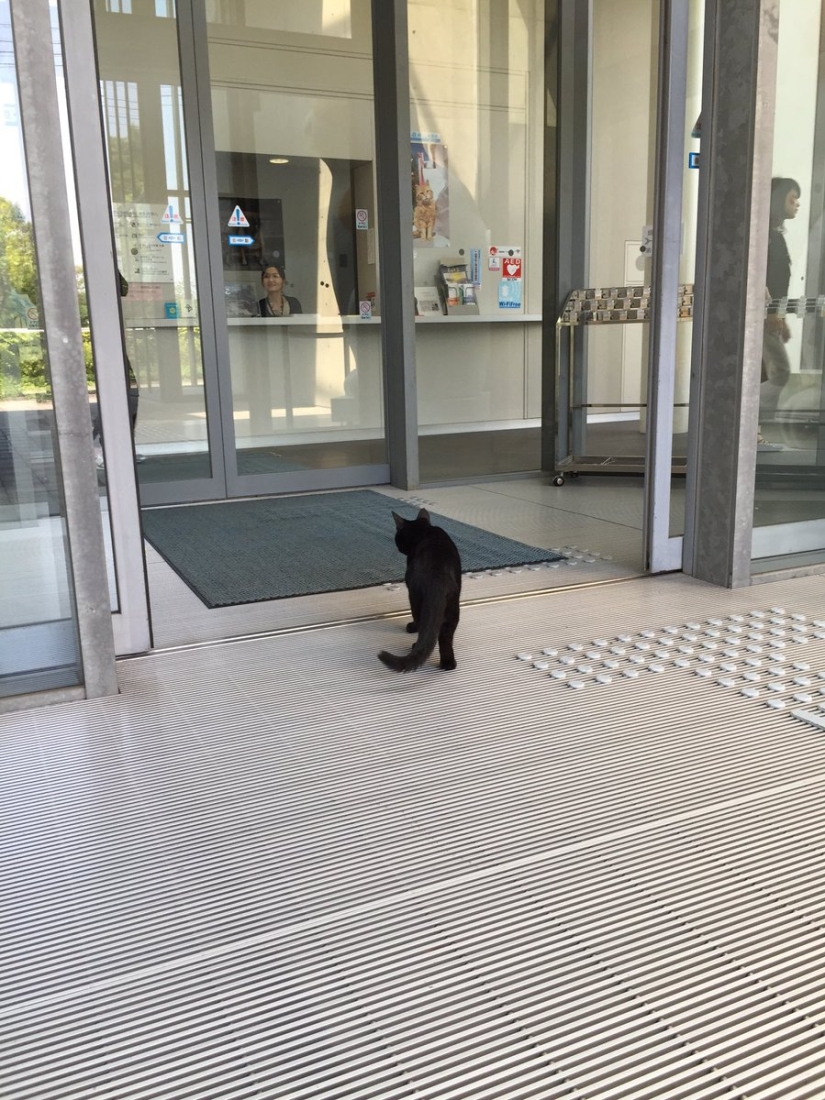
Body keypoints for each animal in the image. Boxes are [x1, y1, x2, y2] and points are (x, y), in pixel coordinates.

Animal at [378, 510, 462, 673]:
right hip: (453, 605)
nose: (398, 547)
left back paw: (415, 642)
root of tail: (437, 576)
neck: (424, 531)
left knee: (421, 624)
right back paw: (448, 664)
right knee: (445, 636)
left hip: (416, 598)